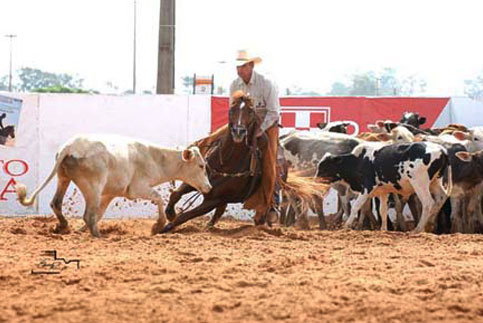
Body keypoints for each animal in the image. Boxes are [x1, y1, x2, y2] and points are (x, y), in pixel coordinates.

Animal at [163, 92, 268, 234]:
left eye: (251, 112)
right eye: (231, 110)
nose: (239, 131)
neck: (226, 163)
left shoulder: (213, 200)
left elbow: (184, 216)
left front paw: (163, 227)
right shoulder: (196, 178)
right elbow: (175, 195)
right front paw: (170, 213)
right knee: (220, 209)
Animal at [318, 142, 454, 233]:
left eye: (324, 167)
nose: (315, 180)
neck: (359, 161)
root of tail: (442, 150)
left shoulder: (367, 187)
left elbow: (356, 206)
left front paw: (346, 226)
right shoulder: (383, 191)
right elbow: (383, 210)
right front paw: (383, 229)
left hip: (420, 183)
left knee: (428, 202)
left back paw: (418, 229)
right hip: (436, 181)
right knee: (441, 198)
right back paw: (430, 223)